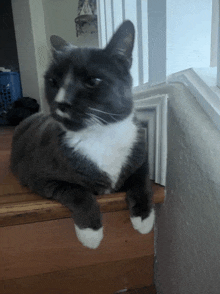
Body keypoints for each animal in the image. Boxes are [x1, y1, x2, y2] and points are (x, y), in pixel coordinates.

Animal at [9, 20, 155, 249]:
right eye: (53, 81)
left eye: (92, 81)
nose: (61, 102)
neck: (100, 134)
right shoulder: (39, 176)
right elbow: (77, 192)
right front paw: (91, 234)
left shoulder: (139, 156)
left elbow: (142, 182)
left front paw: (144, 219)